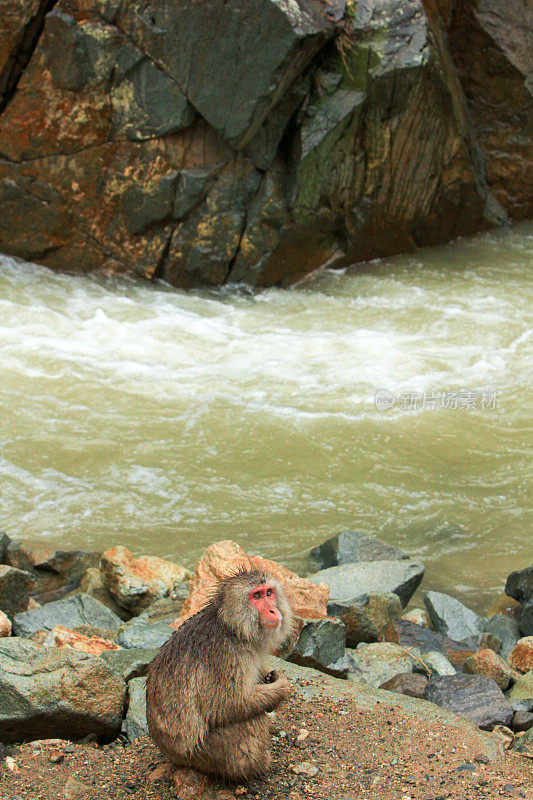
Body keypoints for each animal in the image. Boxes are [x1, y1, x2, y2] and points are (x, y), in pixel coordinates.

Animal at [145, 568, 294, 780]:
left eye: (269, 593)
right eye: (256, 596)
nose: (273, 610)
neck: (231, 627)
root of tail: (170, 754)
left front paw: (269, 676)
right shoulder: (228, 656)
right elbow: (226, 706)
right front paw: (282, 687)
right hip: (204, 754)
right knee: (248, 720)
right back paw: (259, 766)